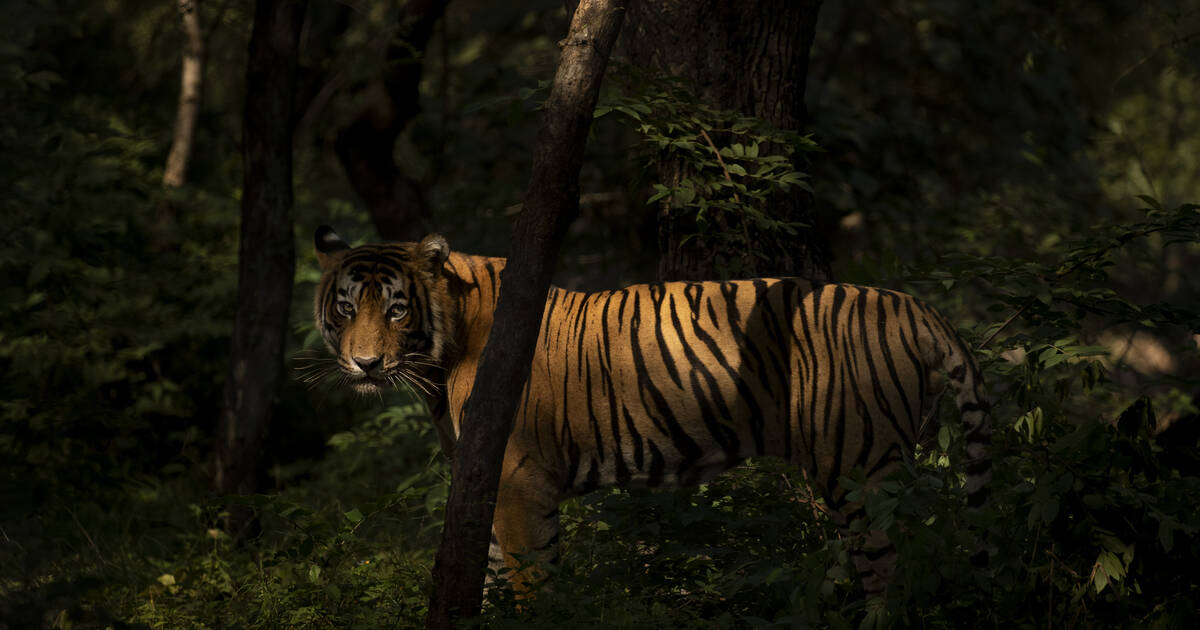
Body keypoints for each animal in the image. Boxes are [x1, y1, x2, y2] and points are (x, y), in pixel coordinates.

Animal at [312, 224, 993, 595]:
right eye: (346, 307)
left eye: (397, 308)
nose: (365, 364)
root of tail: (916, 308)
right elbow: (491, 575)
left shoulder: (517, 478)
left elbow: (529, 580)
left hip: (859, 467)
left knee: (895, 567)